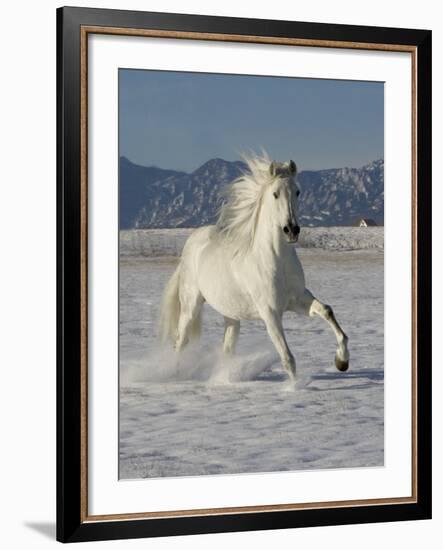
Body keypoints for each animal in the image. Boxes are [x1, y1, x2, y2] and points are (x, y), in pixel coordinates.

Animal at [160, 153, 350, 382]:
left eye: (297, 191)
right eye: (275, 194)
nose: (291, 230)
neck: (276, 260)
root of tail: (192, 243)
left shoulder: (298, 300)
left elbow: (327, 311)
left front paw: (342, 361)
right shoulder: (270, 312)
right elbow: (288, 358)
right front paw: (295, 388)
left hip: (231, 314)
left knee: (227, 348)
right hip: (191, 305)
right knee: (180, 341)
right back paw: (176, 374)